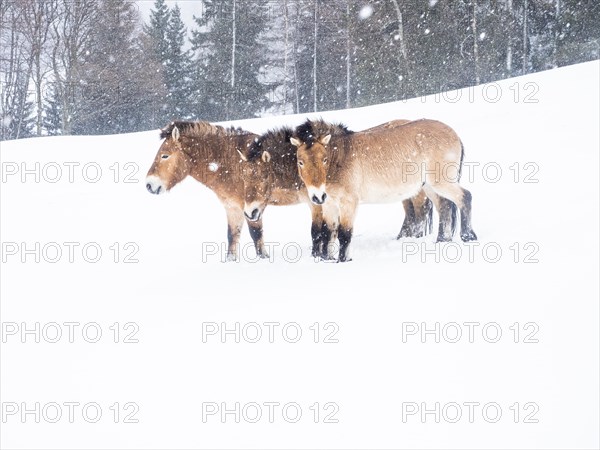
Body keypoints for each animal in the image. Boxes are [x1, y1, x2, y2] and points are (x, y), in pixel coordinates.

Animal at [290, 118, 478, 262]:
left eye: (324, 159)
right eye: (300, 161)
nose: (317, 196)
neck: (341, 156)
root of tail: (454, 134)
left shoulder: (348, 203)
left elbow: (345, 234)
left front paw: (343, 260)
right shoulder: (329, 204)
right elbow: (328, 233)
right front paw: (327, 259)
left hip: (441, 183)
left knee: (465, 197)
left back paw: (468, 236)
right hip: (429, 186)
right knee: (444, 207)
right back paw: (442, 240)